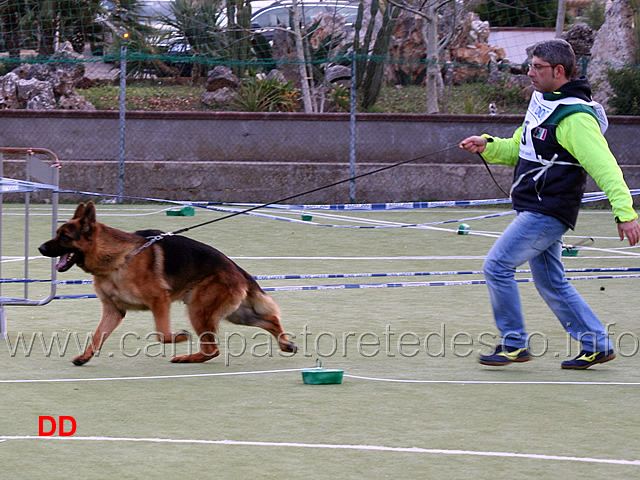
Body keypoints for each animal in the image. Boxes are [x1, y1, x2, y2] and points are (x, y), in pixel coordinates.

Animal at [39, 202, 298, 364]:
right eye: (57, 233)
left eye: (64, 236)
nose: (40, 248)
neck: (119, 259)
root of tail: (236, 269)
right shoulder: (113, 311)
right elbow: (96, 336)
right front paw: (85, 356)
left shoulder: (159, 301)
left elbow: (162, 335)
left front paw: (180, 337)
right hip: (236, 314)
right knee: (271, 320)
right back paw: (286, 344)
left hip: (199, 309)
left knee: (212, 349)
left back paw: (187, 357)